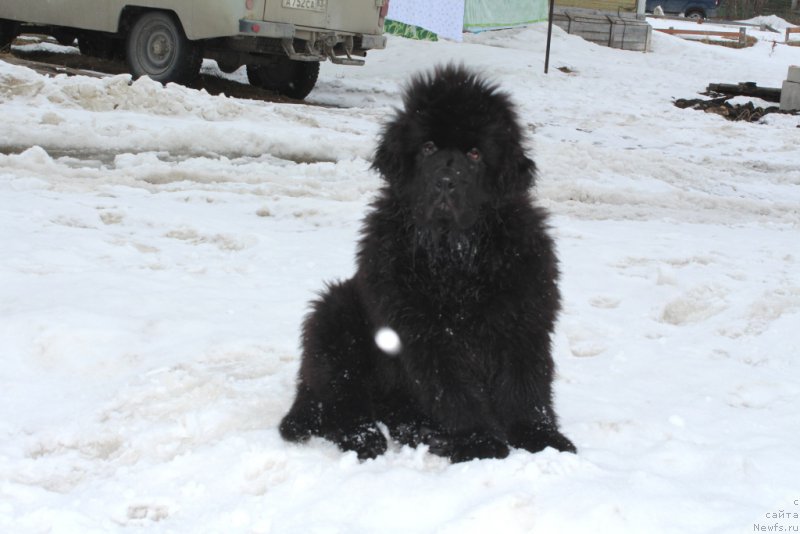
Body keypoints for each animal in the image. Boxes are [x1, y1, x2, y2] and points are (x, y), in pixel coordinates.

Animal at [282, 63, 576, 464]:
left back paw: (421, 432)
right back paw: (367, 439)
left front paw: (542, 437)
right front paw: (480, 440)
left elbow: (526, 388)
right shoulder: (423, 334)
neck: (454, 256)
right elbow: (454, 392)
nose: (446, 182)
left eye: (474, 154)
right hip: (335, 317)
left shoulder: (524, 321)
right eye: (428, 147)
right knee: (342, 403)